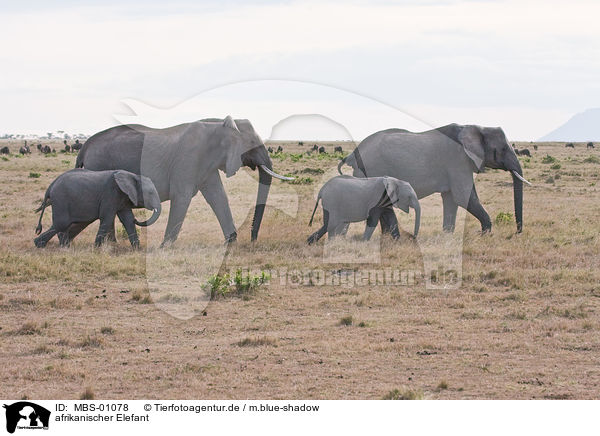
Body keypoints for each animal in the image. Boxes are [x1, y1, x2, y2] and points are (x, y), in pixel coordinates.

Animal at [76, 116, 292, 245]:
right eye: (253, 144)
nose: (253, 239)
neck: (219, 125)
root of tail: (85, 147)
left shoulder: (207, 165)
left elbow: (218, 196)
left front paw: (231, 242)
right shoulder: (188, 159)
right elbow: (182, 197)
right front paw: (165, 247)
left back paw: (112, 244)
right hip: (99, 165)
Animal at [338, 124, 528, 235]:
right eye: (503, 149)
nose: (517, 232)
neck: (478, 127)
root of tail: (353, 154)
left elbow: (451, 199)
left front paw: (447, 235)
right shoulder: (458, 160)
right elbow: (463, 197)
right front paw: (485, 234)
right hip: (371, 170)